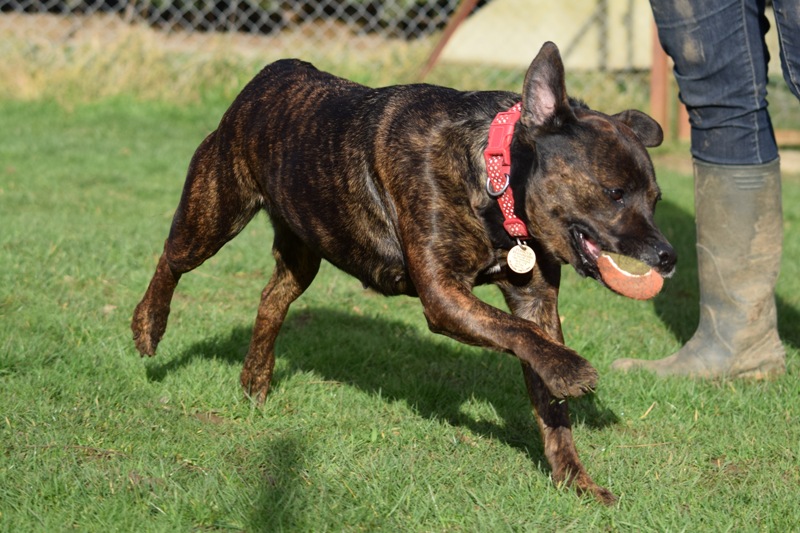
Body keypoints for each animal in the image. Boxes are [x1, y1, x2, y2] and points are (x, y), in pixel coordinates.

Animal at [131, 42, 676, 502]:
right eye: (614, 193)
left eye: (655, 200)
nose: (668, 256)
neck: (494, 176)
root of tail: (272, 73)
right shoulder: (443, 294)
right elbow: (519, 334)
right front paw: (572, 370)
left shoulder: (535, 302)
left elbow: (547, 391)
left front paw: (575, 481)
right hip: (214, 214)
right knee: (170, 259)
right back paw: (148, 327)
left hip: (304, 250)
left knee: (272, 300)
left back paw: (255, 381)